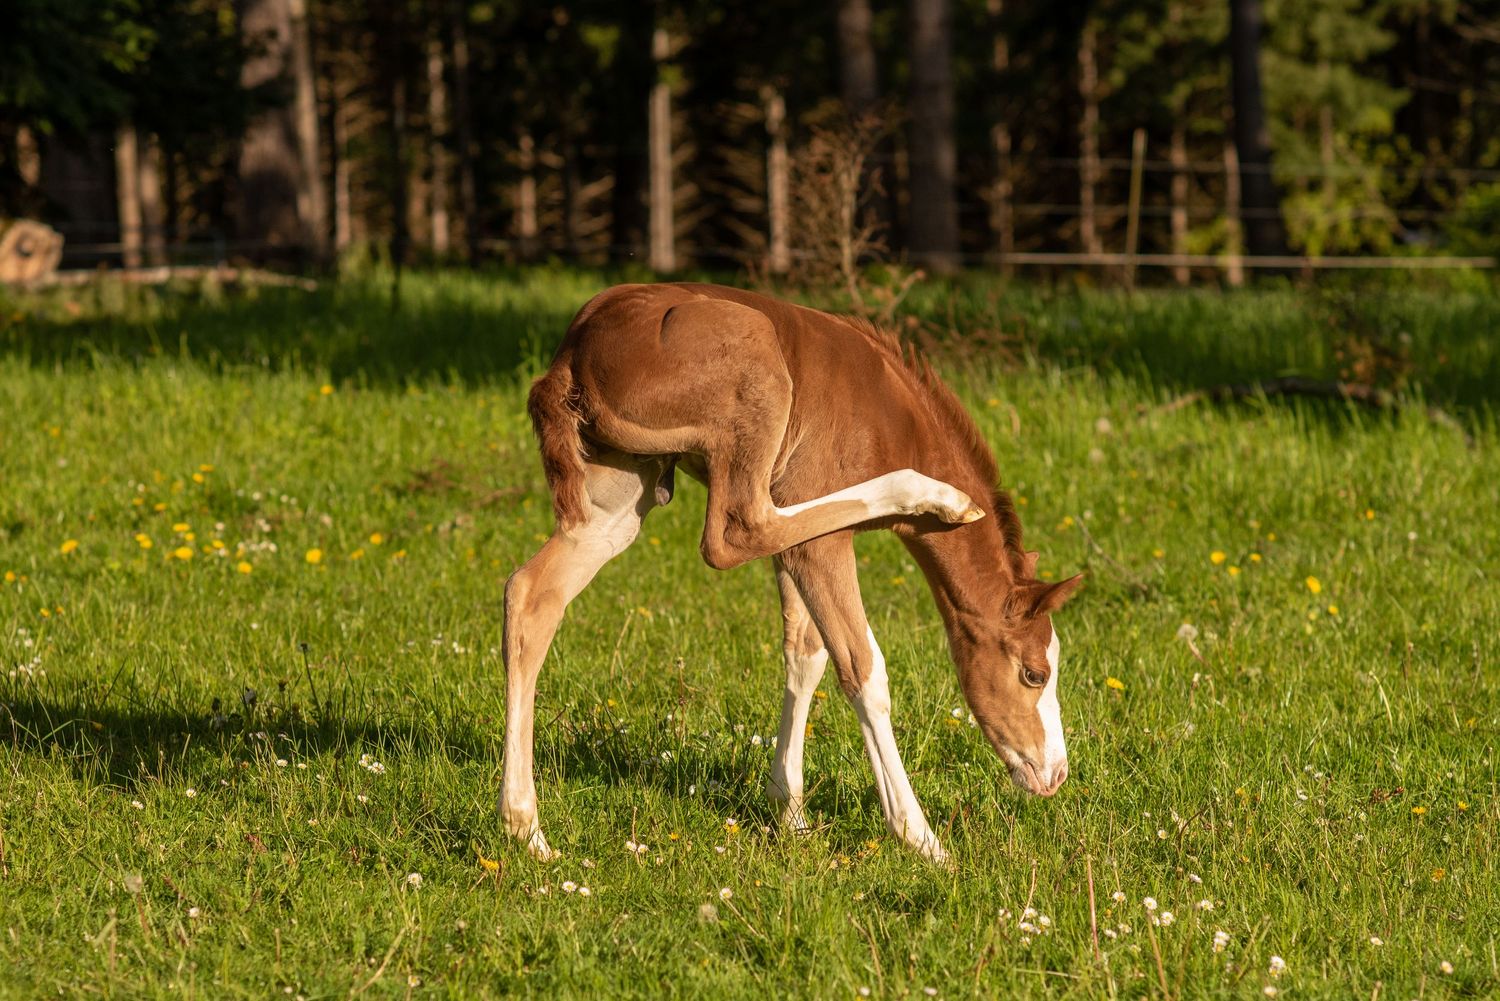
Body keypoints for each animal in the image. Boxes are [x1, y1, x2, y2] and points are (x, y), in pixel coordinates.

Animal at [503, 283, 1082, 863]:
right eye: (1035, 673)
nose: (1055, 775)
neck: (893, 418)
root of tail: (573, 350)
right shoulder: (819, 540)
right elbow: (862, 669)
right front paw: (919, 837)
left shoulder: (796, 550)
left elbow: (807, 654)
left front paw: (791, 814)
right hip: (753, 369)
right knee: (734, 533)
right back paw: (935, 494)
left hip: (617, 496)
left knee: (530, 594)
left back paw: (526, 829)